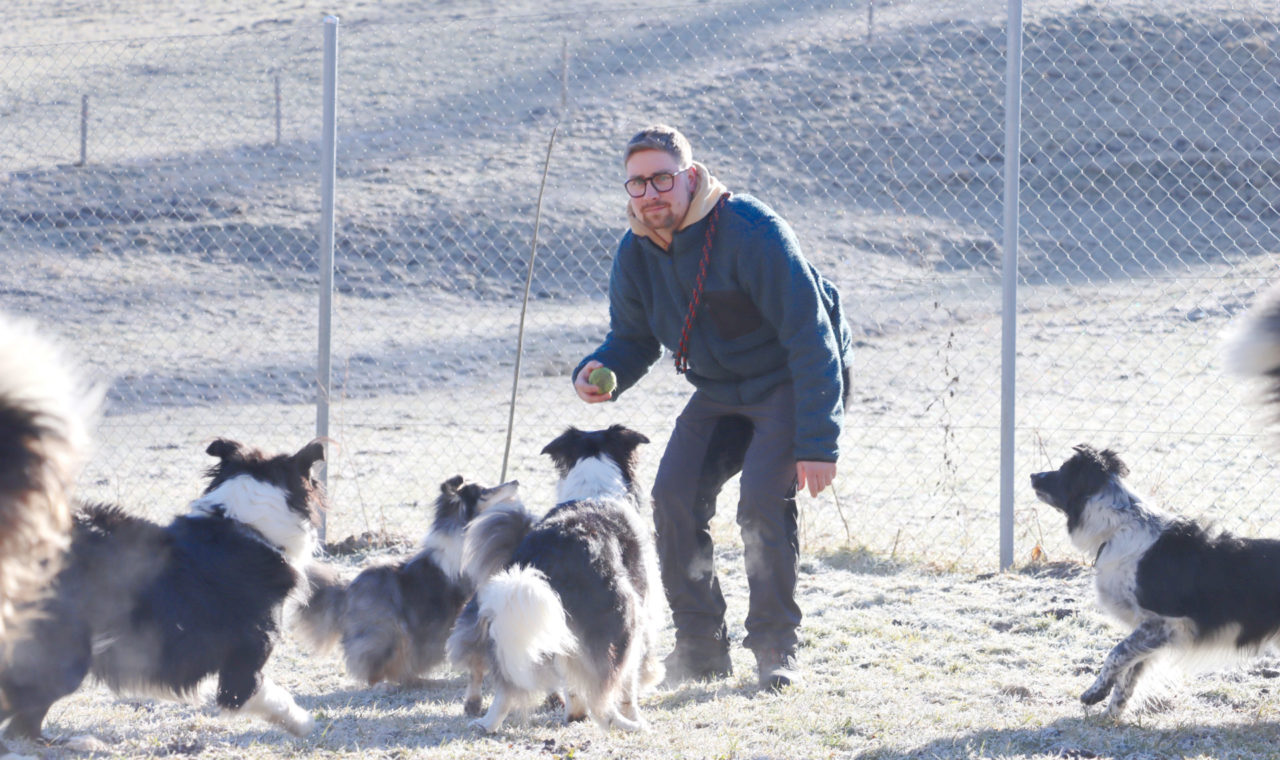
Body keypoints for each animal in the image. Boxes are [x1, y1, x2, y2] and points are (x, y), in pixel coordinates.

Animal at [0, 437, 325, 742]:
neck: (245, 525)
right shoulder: (243, 664)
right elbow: (270, 696)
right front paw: (305, 723)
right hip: (64, 655)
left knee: (23, 726)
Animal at [448, 422, 665, 731]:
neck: (595, 487)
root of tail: (547, 560)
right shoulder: (642, 611)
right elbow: (628, 685)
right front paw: (634, 714)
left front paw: (574, 713)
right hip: (623, 620)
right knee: (603, 695)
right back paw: (629, 725)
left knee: (506, 686)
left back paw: (486, 723)